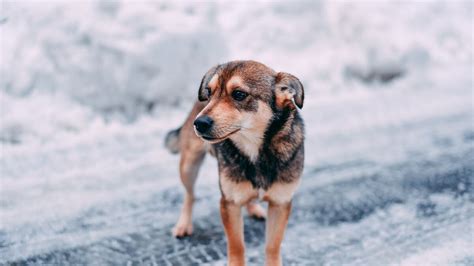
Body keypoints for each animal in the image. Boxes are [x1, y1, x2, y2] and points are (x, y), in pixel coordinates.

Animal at [165, 60, 306, 266]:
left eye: (239, 94)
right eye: (209, 93)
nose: (199, 123)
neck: (255, 152)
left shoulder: (281, 203)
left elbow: (272, 247)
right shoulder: (229, 203)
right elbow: (237, 246)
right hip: (188, 166)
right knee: (189, 195)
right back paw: (183, 225)